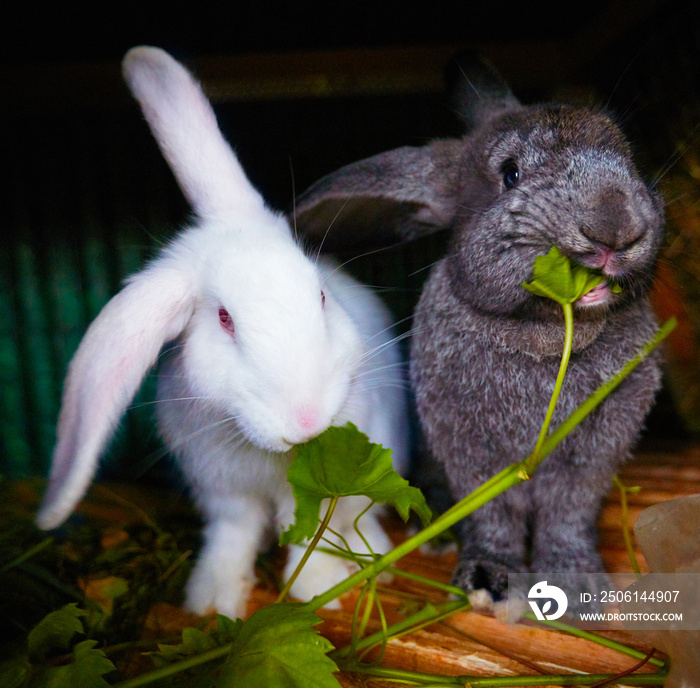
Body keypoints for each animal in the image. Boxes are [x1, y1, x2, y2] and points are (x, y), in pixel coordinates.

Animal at [37, 48, 410, 620]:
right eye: (224, 319)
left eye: (321, 296)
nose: (306, 421)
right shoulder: (221, 492)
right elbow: (232, 536)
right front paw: (210, 601)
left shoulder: (316, 491)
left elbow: (313, 534)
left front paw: (319, 590)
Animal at [292, 53, 664, 600]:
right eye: (510, 174)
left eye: (628, 155)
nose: (616, 226)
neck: (547, 338)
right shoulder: (470, 451)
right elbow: (494, 512)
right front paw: (487, 579)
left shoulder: (593, 457)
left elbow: (567, 514)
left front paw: (575, 582)